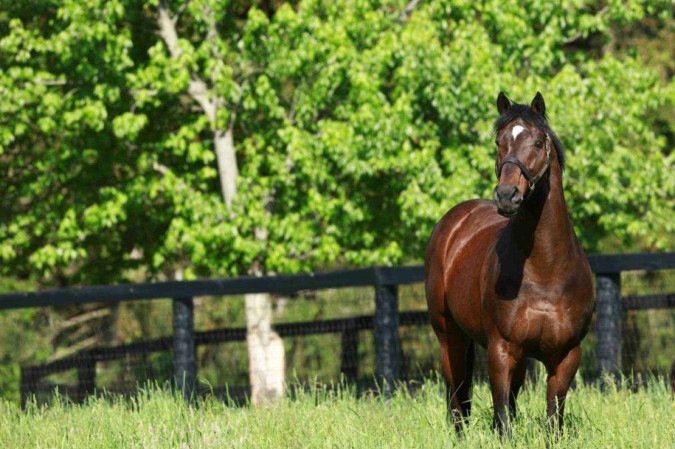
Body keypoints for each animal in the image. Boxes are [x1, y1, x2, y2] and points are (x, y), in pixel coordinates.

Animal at [425, 92, 594, 435]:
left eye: (538, 142)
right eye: (499, 141)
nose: (506, 195)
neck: (546, 270)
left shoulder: (566, 357)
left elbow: (552, 420)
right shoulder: (501, 350)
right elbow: (502, 419)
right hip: (450, 336)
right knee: (457, 400)